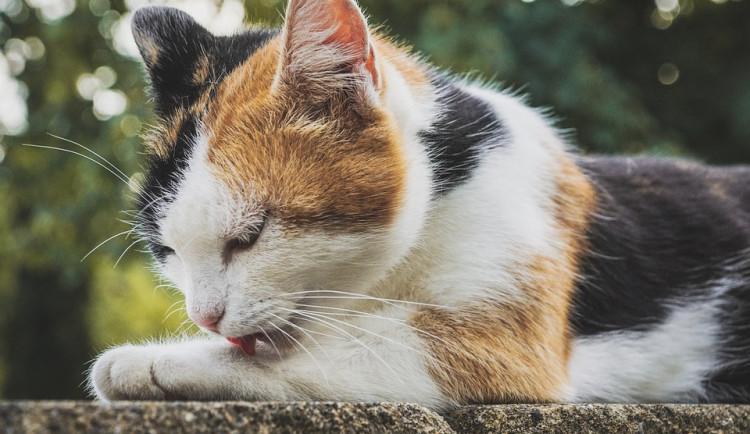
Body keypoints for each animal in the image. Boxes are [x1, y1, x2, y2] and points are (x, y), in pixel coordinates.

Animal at [91, 0, 750, 406]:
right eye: (169, 251)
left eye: (249, 236)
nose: (204, 317)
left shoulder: (505, 347)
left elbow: (342, 346)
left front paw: (148, 363)